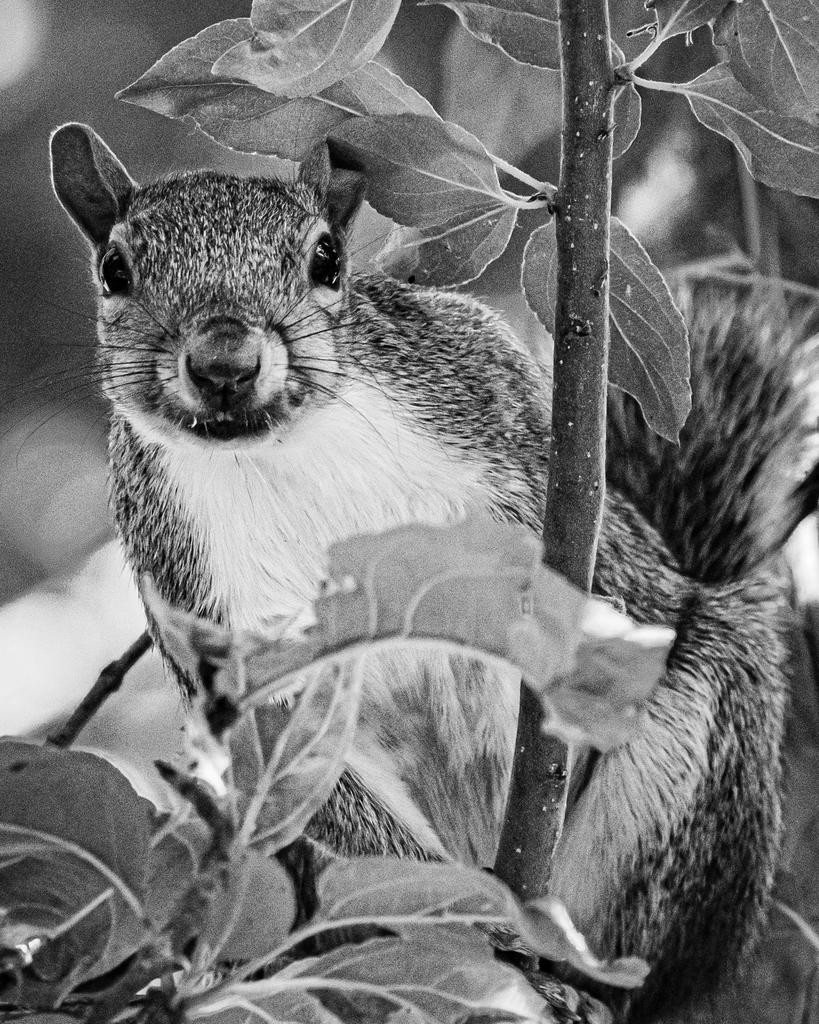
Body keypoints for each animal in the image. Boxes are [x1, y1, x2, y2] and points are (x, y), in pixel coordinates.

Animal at [49, 122, 818, 1023]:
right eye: (115, 270)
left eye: (327, 259)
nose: (224, 360)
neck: (284, 450)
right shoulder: (201, 603)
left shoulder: (498, 401)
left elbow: (599, 579)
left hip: (701, 742)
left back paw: (585, 982)